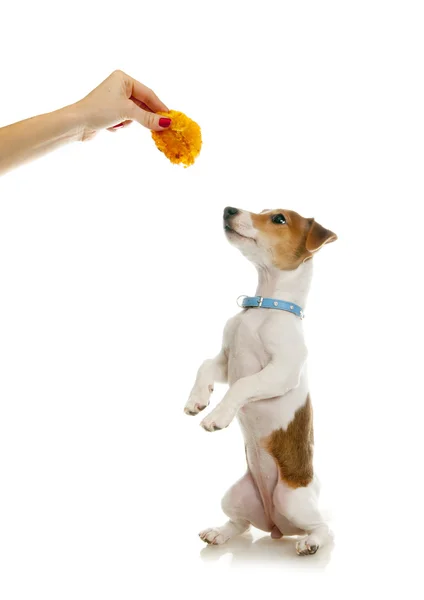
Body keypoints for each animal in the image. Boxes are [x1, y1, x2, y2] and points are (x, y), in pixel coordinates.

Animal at [184, 207, 336, 556]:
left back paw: (311, 544)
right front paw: (197, 399)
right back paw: (218, 533)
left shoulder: (281, 372)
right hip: (235, 496)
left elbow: (242, 386)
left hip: (294, 500)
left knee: (325, 527)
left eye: (279, 219)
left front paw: (217, 416)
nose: (229, 209)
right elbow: (205, 366)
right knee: (240, 524)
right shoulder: (225, 361)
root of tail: (276, 526)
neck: (264, 305)